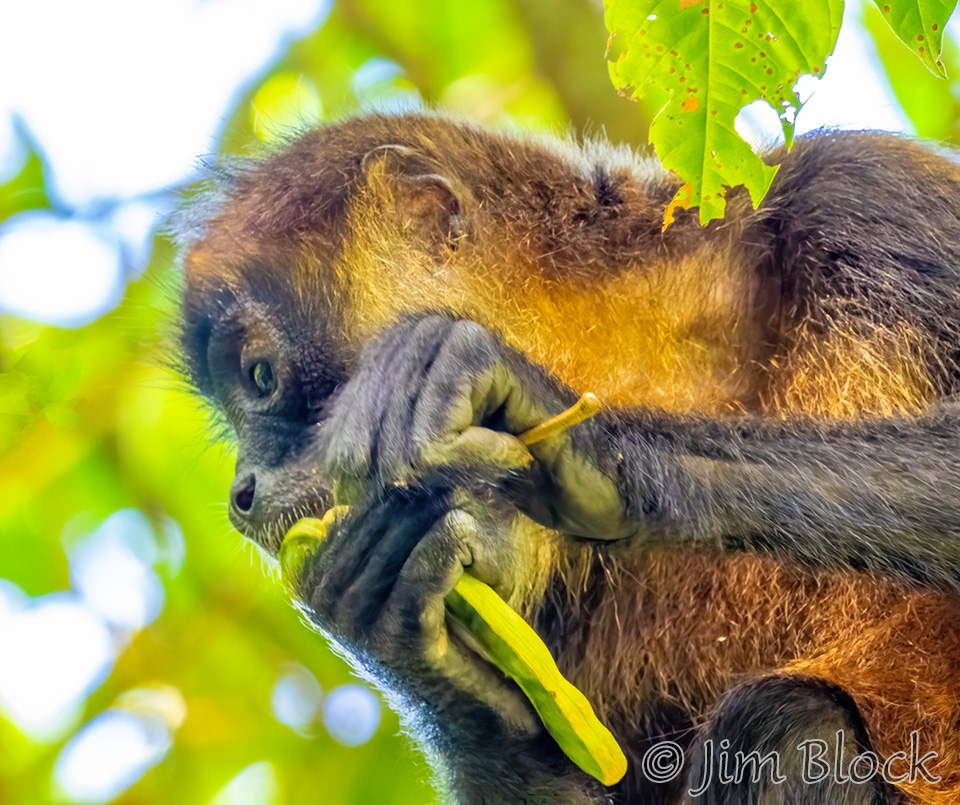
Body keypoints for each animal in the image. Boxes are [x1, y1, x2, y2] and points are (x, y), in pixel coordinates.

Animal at [178, 113, 960, 805]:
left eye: (259, 376)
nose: (242, 495)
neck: (664, 354)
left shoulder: (864, 189)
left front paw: (589, 451)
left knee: (787, 725)